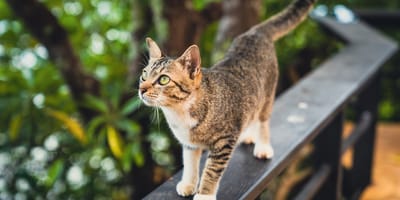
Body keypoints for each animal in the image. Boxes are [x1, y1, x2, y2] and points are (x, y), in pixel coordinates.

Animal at [139, 0, 318, 199]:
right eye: (144, 75)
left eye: (163, 79)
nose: (141, 89)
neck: (180, 111)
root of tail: (255, 32)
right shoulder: (189, 144)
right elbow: (190, 163)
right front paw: (188, 184)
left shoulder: (224, 141)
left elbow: (211, 171)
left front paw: (204, 194)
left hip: (267, 94)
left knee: (263, 120)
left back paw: (263, 146)